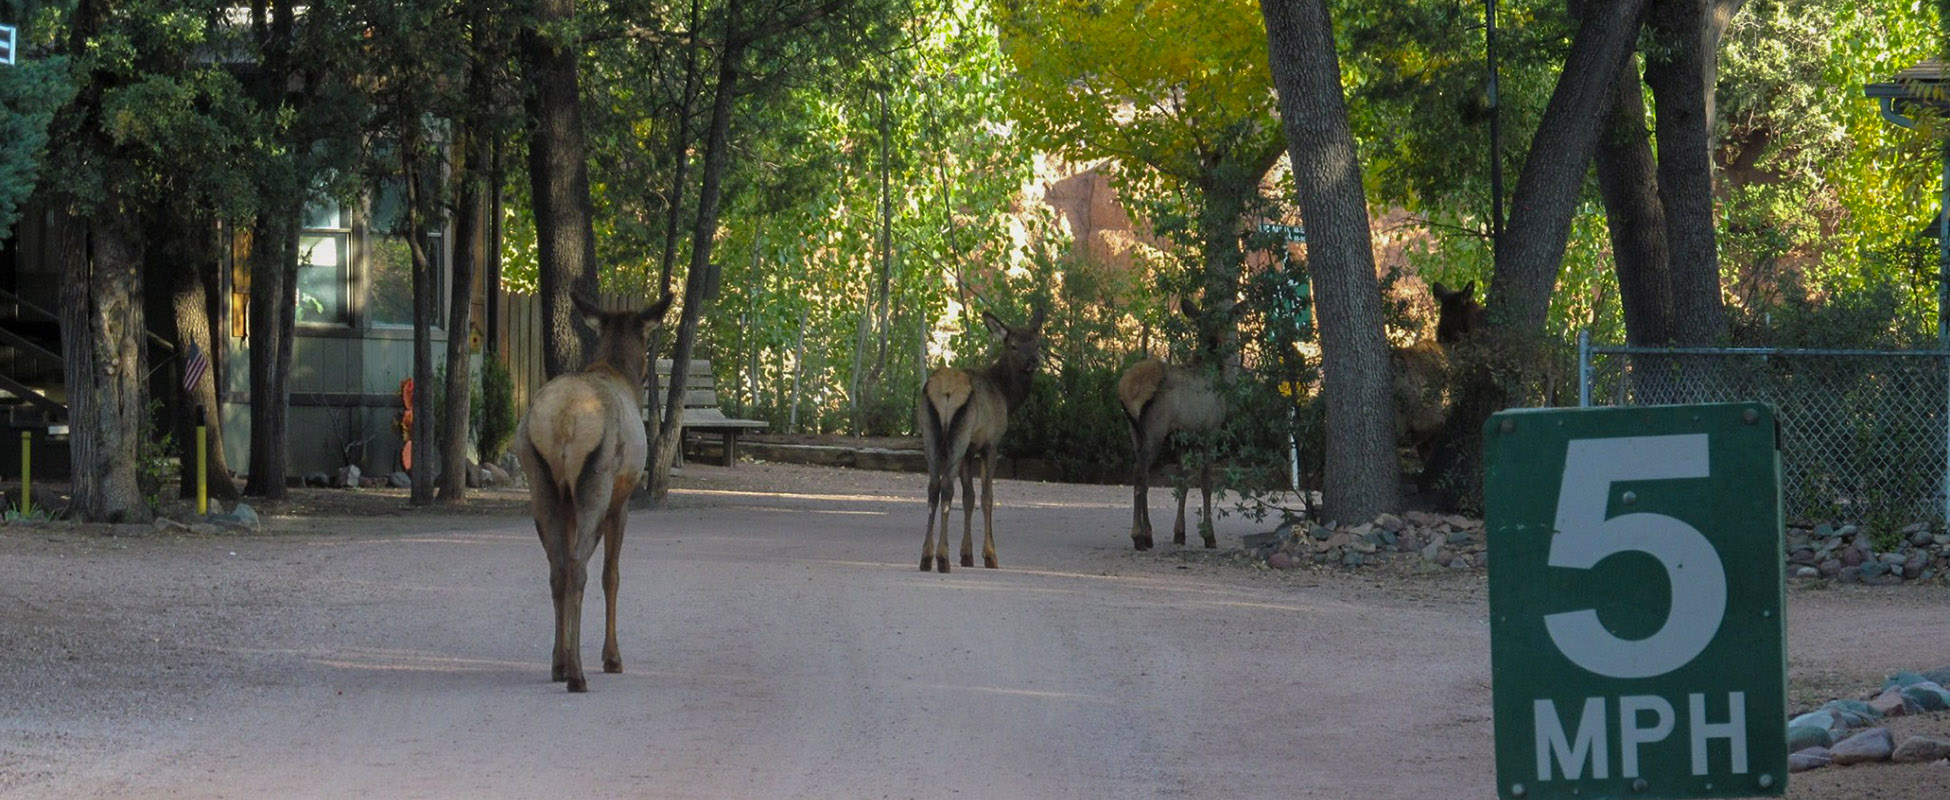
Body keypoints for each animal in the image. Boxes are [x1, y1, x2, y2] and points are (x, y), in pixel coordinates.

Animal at [515, 290, 674, 692]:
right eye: (646, 339)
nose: (647, 374)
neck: (617, 369)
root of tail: (563, 420)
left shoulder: (569, 502)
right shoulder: (622, 500)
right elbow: (611, 575)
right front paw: (612, 657)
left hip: (541, 483)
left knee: (557, 567)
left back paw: (559, 664)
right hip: (596, 486)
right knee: (578, 567)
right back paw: (578, 674)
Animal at [917, 308, 1046, 573]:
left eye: (1037, 343)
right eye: (1014, 345)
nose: (1033, 362)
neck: (1006, 396)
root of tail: (945, 391)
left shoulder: (969, 450)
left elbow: (969, 497)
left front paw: (967, 555)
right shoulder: (990, 443)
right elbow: (986, 497)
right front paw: (989, 555)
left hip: (930, 433)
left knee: (934, 486)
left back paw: (926, 557)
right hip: (959, 436)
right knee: (947, 487)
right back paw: (942, 558)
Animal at [1119, 299, 1227, 551]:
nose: (1225, 344)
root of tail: (1126, 389)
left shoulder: (1182, 439)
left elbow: (1183, 481)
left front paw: (1180, 533)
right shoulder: (1210, 431)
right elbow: (1206, 482)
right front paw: (1209, 535)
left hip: (1134, 432)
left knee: (1141, 475)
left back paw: (1147, 534)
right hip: (1155, 430)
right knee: (1140, 473)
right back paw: (1139, 536)